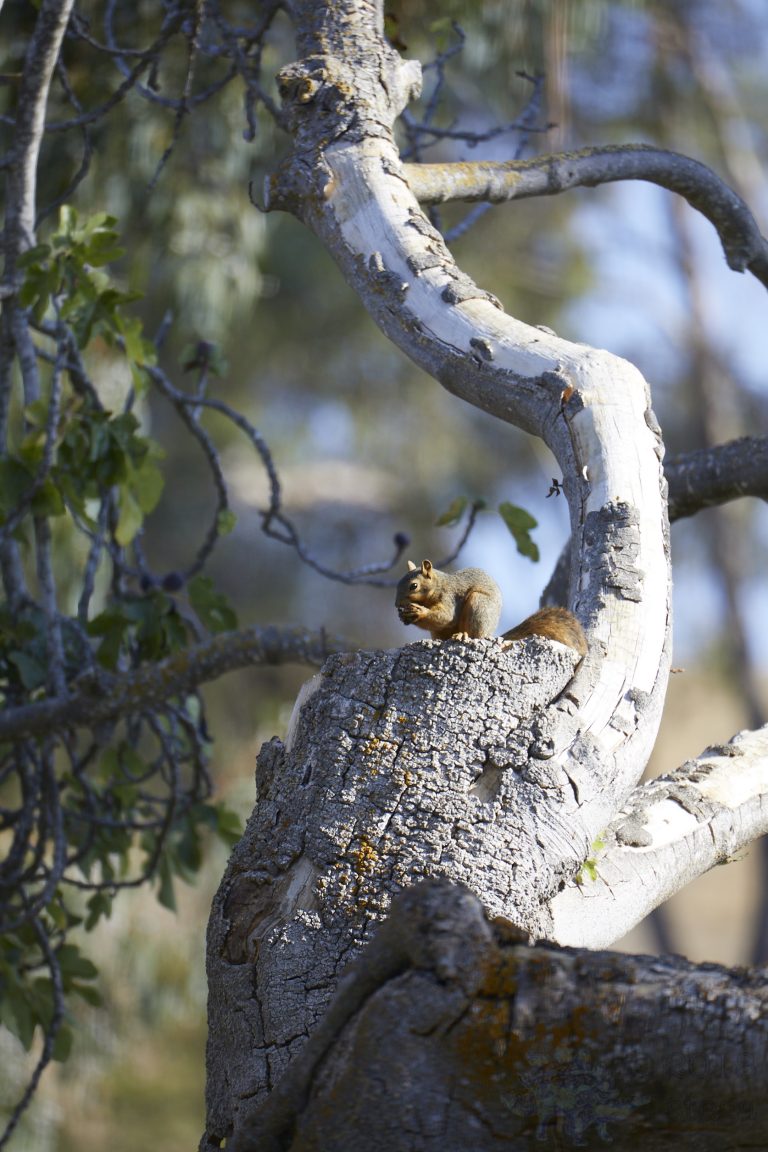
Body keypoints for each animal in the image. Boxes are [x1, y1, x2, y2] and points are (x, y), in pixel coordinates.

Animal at [395, 559, 587, 656]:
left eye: (413, 586)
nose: (397, 605)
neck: (438, 585)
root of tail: (491, 634)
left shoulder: (450, 598)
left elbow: (446, 616)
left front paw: (419, 612)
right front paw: (404, 616)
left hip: (478, 605)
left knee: (475, 635)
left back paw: (463, 635)